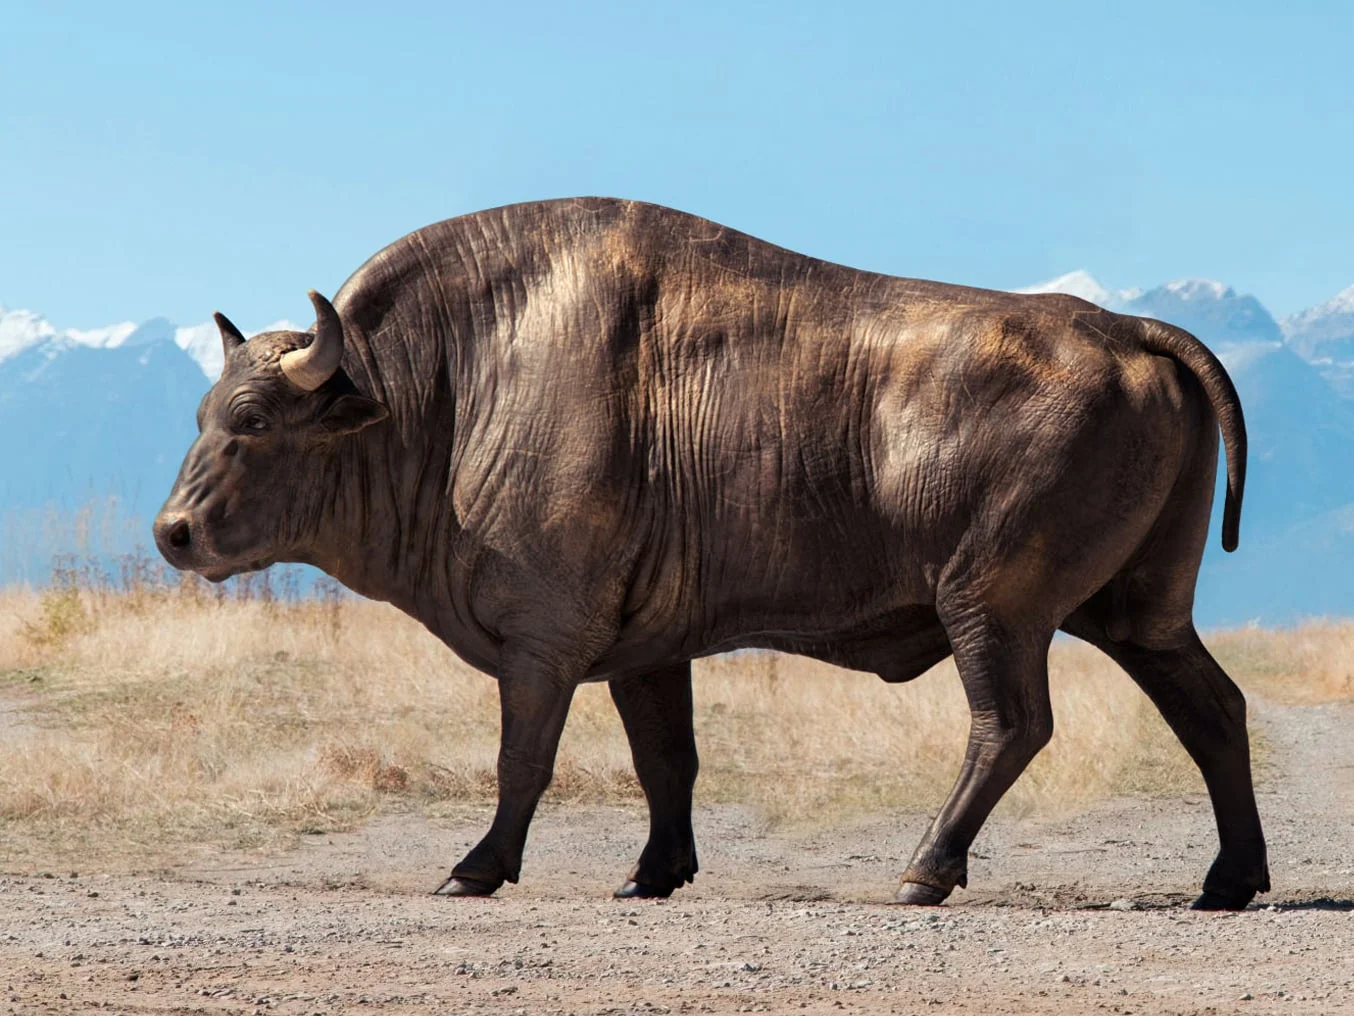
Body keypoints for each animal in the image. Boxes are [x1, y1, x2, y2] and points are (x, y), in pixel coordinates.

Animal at [155, 198, 1267, 909]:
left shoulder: (544, 645)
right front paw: (650, 874)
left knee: (1011, 724)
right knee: (1209, 707)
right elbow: (666, 760)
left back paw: (922, 873)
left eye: (253, 419)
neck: (450, 383)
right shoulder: (645, 652)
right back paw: (1228, 882)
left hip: (992, 609)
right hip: (1137, 610)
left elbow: (525, 757)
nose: (173, 532)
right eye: (203, 412)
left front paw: (472, 868)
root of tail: (1125, 327)